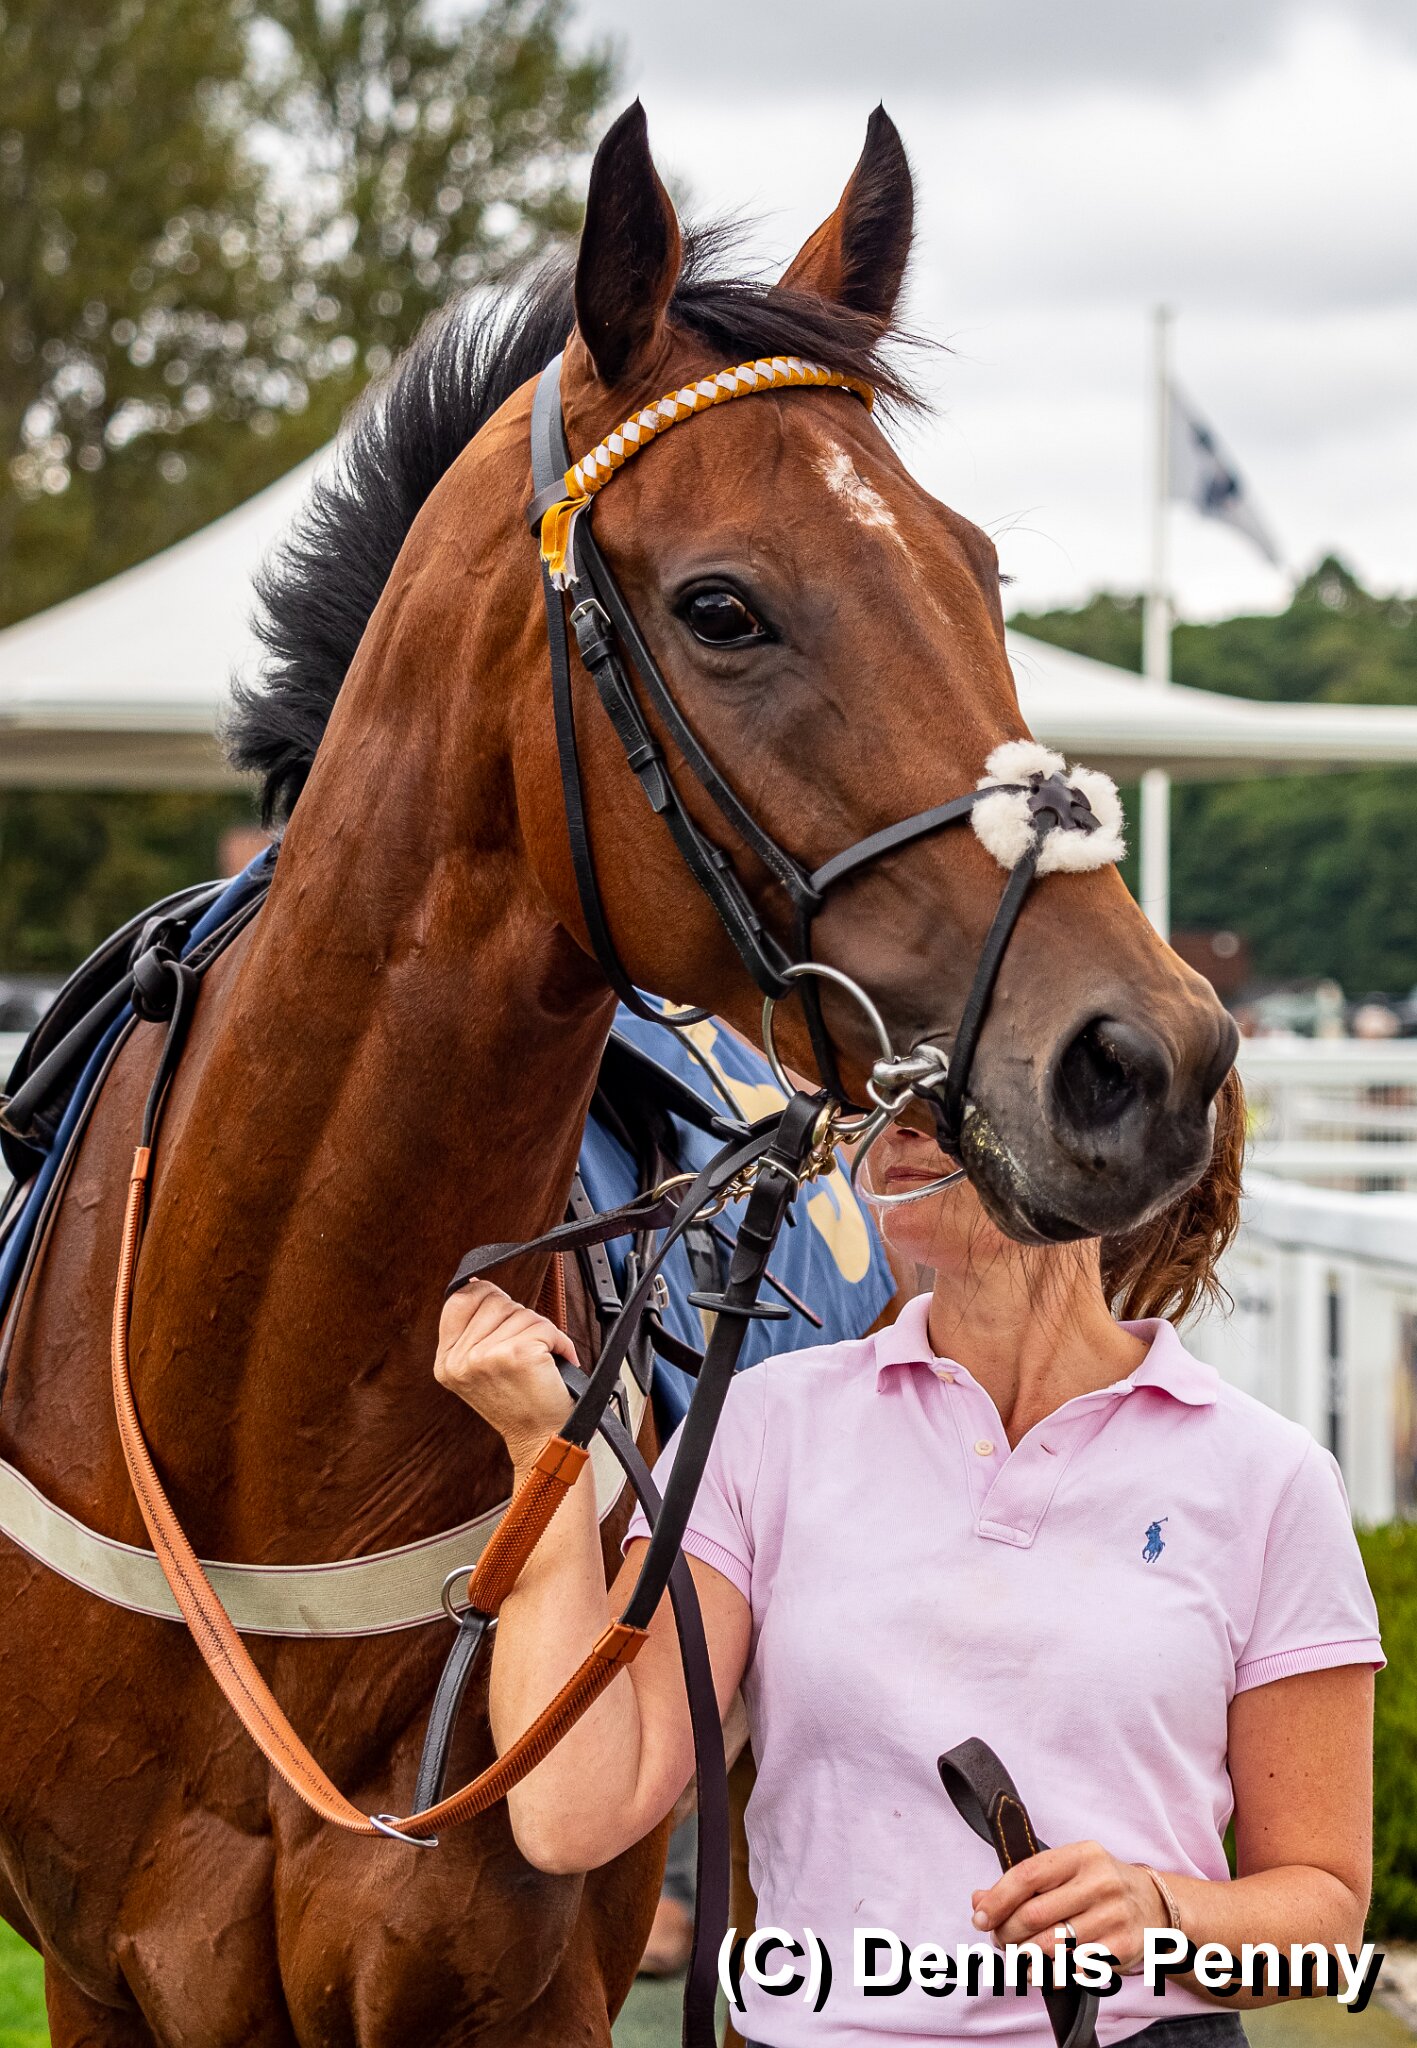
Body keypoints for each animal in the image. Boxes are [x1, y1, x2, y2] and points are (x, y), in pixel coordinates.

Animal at [0, 103, 1238, 2046]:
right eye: (723, 606)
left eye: (977, 571)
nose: (1148, 1058)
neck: (269, 1433)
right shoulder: (97, 1975)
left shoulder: (511, 1992)